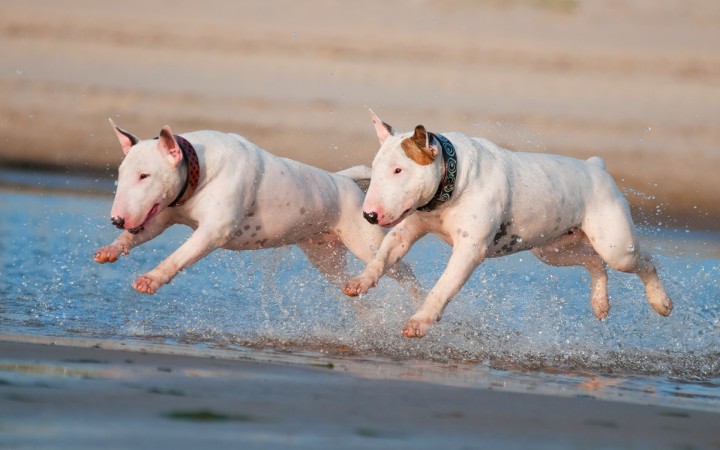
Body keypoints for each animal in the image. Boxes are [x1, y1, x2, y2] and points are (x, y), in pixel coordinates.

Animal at [94, 119, 416, 296]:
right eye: (122, 174)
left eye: (144, 175)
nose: (117, 220)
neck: (198, 168)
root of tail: (344, 182)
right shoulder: (163, 214)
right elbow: (143, 232)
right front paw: (112, 248)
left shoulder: (213, 232)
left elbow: (178, 256)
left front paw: (151, 279)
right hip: (324, 255)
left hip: (366, 244)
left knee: (405, 274)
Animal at [346, 111, 672, 338]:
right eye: (376, 169)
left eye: (399, 170)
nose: (369, 216)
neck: (453, 177)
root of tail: (596, 167)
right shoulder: (408, 228)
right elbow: (384, 254)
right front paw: (361, 280)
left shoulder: (469, 250)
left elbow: (442, 287)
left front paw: (419, 322)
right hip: (551, 250)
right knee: (594, 263)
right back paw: (600, 303)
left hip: (615, 245)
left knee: (642, 260)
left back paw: (660, 301)